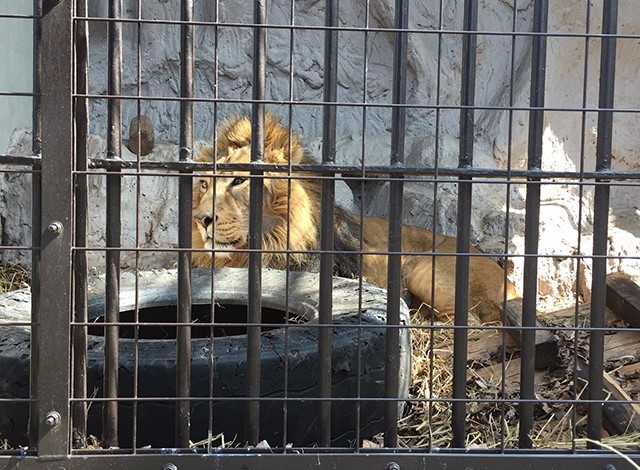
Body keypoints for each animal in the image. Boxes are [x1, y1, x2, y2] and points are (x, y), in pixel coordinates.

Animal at [192, 114, 516, 324]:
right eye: (205, 184)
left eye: (238, 181)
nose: (201, 218)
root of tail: (509, 285)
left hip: (423, 269)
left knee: (472, 322)